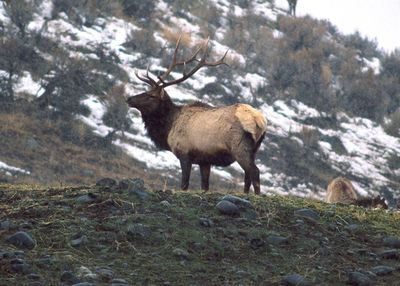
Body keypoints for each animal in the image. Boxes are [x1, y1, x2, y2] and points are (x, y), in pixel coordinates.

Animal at [126, 36, 268, 194]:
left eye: (151, 96)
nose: (129, 99)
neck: (169, 126)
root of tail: (259, 121)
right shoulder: (204, 160)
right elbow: (204, 186)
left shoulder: (184, 153)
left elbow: (184, 184)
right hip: (254, 149)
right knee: (248, 175)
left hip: (239, 147)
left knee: (254, 172)